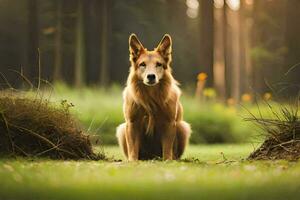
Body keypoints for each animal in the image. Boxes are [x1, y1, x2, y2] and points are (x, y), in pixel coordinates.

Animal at [116, 33, 191, 161]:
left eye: (159, 64)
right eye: (142, 64)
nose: (151, 76)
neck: (150, 97)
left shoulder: (169, 123)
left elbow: (167, 149)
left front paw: (168, 161)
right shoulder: (132, 123)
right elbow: (133, 150)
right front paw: (132, 161)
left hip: (182, 127)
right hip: (122, 129)